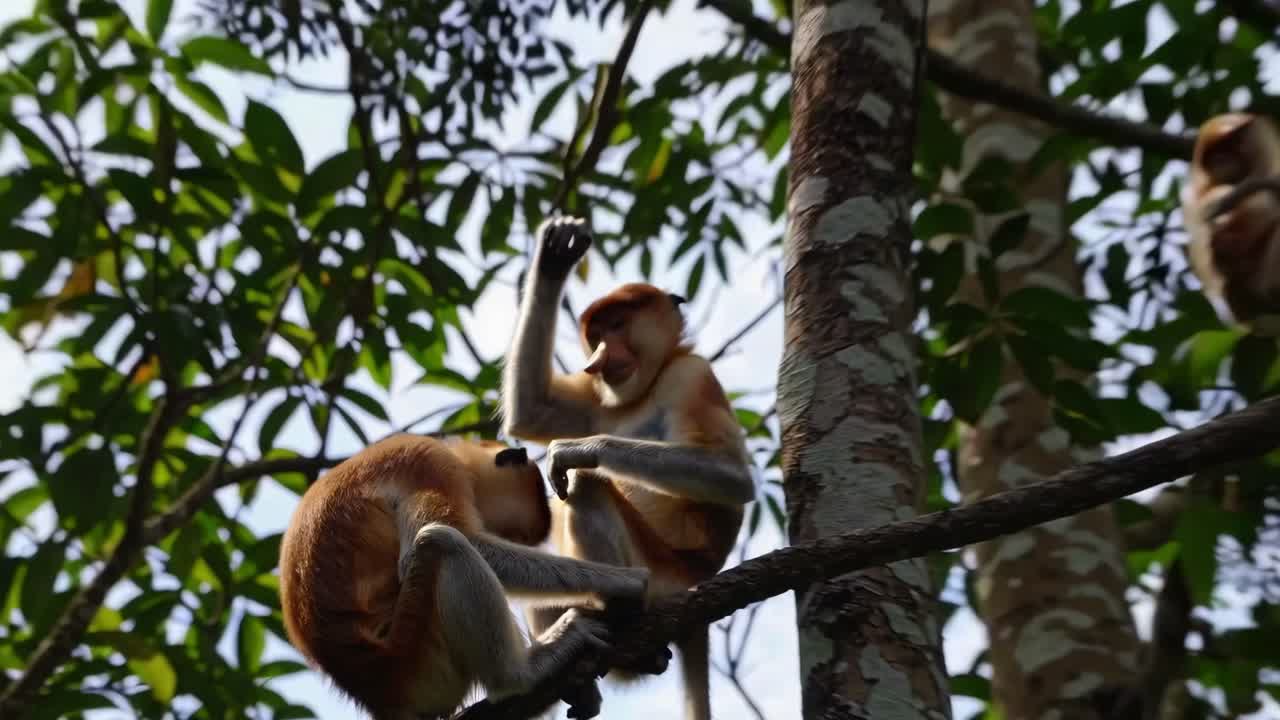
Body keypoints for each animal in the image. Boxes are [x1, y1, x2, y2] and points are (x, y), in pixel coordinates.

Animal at [277, 434, 651, 720]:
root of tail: (378, 691)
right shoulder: (427, 463)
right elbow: (456, 542)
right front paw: (626, 580)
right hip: (421, 657)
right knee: (443, 542)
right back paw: (524, 671)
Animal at [500, 215, 756, 720]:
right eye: (595, 335)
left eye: (618, 325)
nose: (598, 359)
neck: (647, 385)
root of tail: (700, 577)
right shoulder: (598, 400)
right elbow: (534, 411)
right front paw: (555, 252)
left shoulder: (692, 375)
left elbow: (732, 477)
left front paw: (580, 449)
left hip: (664, 579)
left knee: (585, 487)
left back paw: (620, 616)